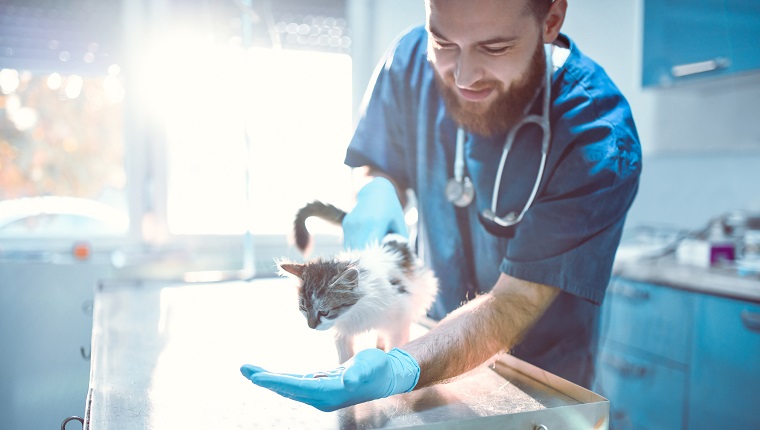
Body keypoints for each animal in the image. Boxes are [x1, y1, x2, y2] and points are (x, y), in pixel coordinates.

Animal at [280, 201, 436, 362]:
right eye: (303, 309)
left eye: (324, 312)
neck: (353, 312)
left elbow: (396, 344)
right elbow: (345, 356)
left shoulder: (398, 320)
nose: (311, 326)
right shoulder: (341, 332)